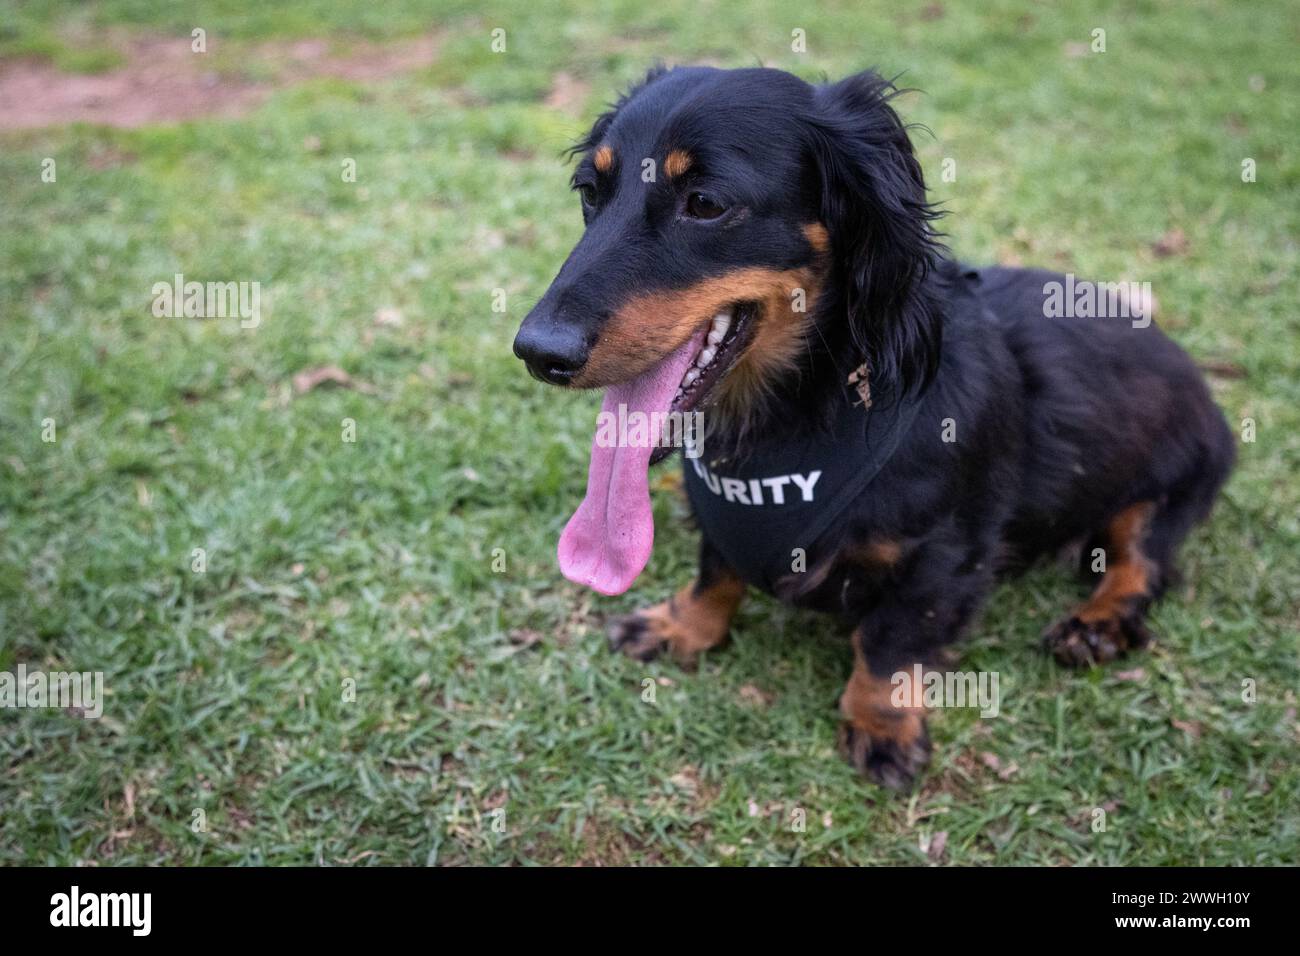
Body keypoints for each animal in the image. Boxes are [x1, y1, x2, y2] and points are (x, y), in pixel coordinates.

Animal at [512, 63, 1232, 790]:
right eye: (590, 192)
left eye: (707, 203)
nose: (538, 353)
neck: (799, 422)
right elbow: (715, 572)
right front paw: (680, 625)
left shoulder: (944, 556)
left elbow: (891, 642)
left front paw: (881, 725)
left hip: (1171, 486)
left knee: (1142, 563)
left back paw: (1096, 624)